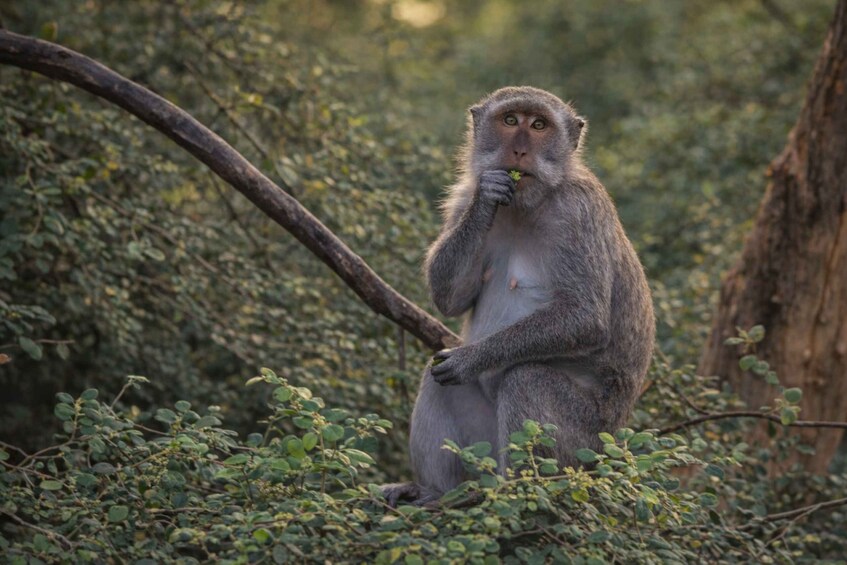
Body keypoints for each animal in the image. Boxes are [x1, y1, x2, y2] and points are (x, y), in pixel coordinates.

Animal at [383, 86, 654, 507]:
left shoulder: (580, 210)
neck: (529, 203)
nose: (519, 151)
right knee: (437, 376)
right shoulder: (461, 198)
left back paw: (519, 490)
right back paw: (434, 492)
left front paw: (471, 359)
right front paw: (487, 199)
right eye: (511, 120)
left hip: (585, 443)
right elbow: (450, 298)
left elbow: (585, 317)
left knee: (526, 379)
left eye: (539, 125)